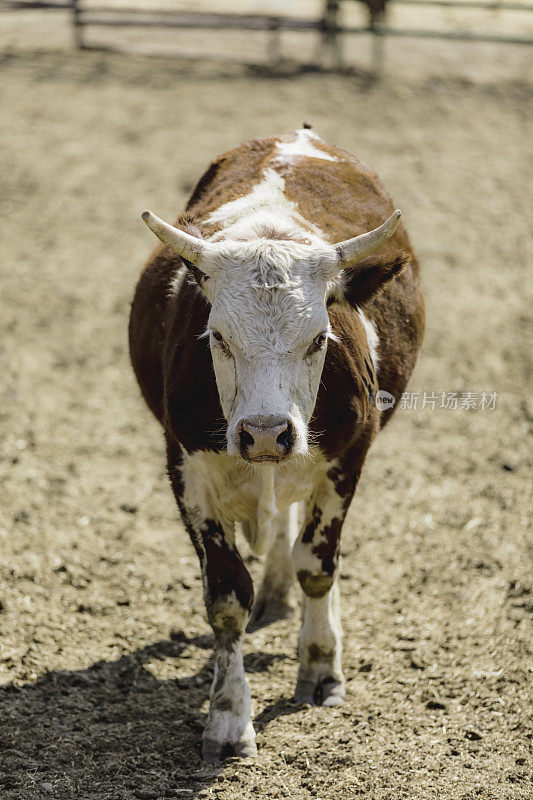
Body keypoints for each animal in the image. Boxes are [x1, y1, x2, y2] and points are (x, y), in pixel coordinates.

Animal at [129, 125, 424, 764]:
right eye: (218, 336)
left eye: (319, 338)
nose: (266, 432)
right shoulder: (185, 467)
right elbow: (225, 597)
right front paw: (227, 718)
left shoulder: (347, 456)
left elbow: (319, 564)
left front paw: (320, 667)